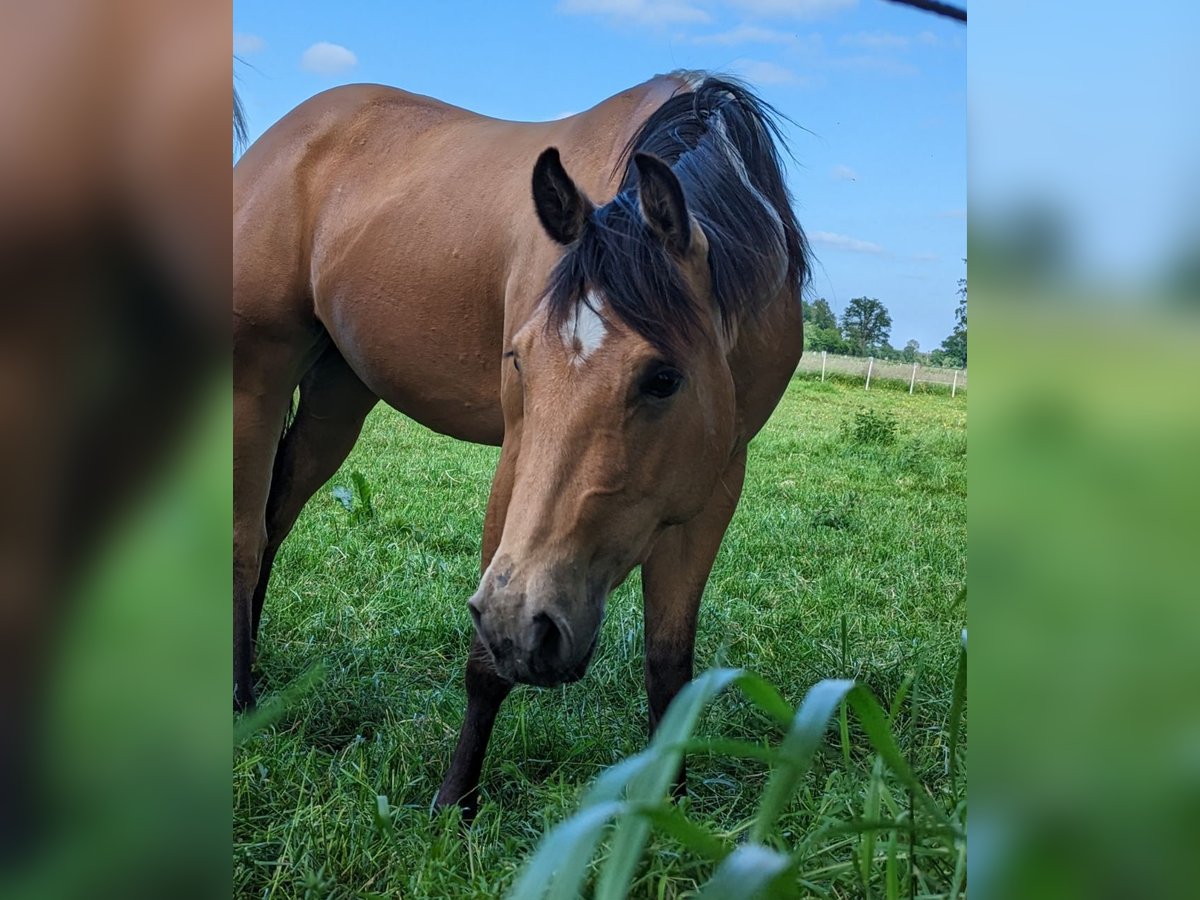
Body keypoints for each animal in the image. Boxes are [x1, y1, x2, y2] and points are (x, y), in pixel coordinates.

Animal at [234, 71, 810, 815]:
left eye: (663, 378)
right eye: (519, 361)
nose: (528, 626)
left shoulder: (712, 487)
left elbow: (668, 667)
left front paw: (666, 813)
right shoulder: (517, 457)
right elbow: (485, 665)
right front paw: (454, 803)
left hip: (338, 393)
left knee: (275, 523)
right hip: (257, 374)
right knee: (245, 539)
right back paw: (241, 700)